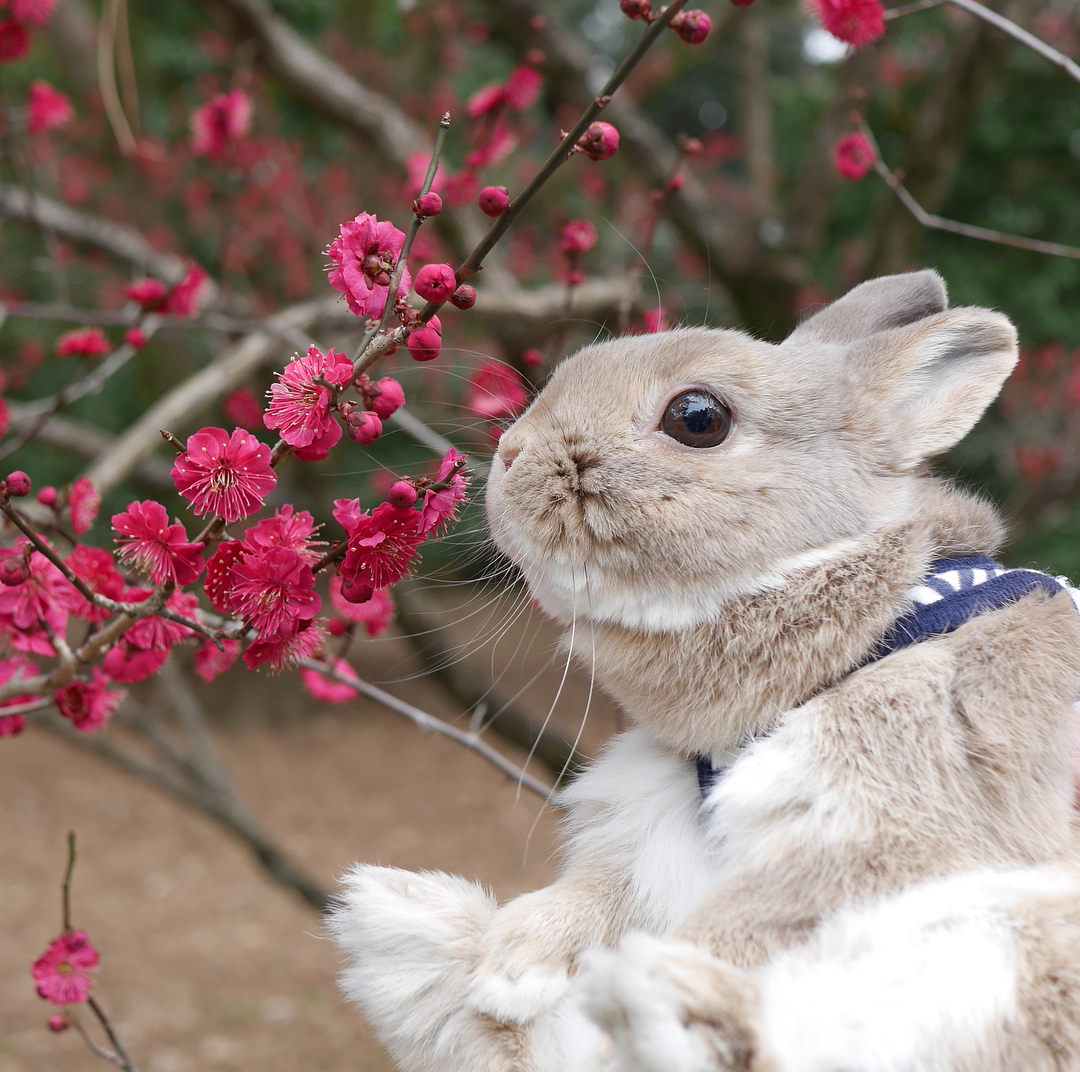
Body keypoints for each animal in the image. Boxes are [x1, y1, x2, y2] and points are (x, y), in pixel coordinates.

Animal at [326, 272, 1080, 1070]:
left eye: (698, 418)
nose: (509, 456)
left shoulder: (885, 824)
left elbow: (747, 924)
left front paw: (555, 983)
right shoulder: (655, 832)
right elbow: (601, 894)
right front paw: (510, 966)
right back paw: (401, 925)